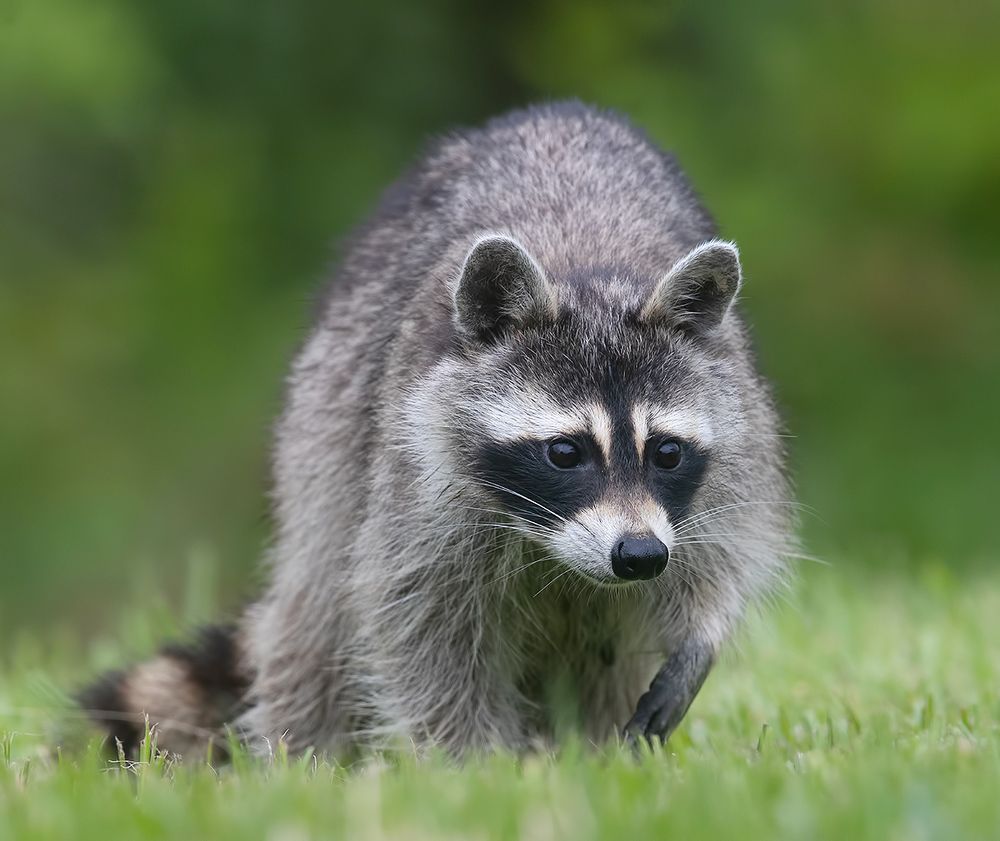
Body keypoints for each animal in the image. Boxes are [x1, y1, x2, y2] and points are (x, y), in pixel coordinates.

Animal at [82, 101, 794, 758]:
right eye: (565, 452)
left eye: (667, 451)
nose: (639, 554)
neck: (588, 271)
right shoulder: (417, 469)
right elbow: (415, 618)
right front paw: (478, 765)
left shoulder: (738, 431)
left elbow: (726, 552)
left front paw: (701, 637)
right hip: (327, 413)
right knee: (316, 615)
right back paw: (302, 750)